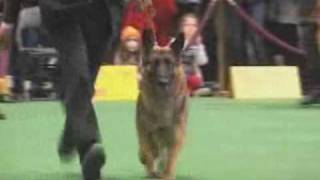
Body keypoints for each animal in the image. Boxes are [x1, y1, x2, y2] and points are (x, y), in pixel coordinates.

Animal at [136, 31, 188, 179]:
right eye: (154, 63)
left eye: (169, 63)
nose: (163, 82)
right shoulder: (145, 131)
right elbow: (149, 151)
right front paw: (151, 167)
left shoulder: (176, 134)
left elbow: (170, 158)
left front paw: (166, 174)